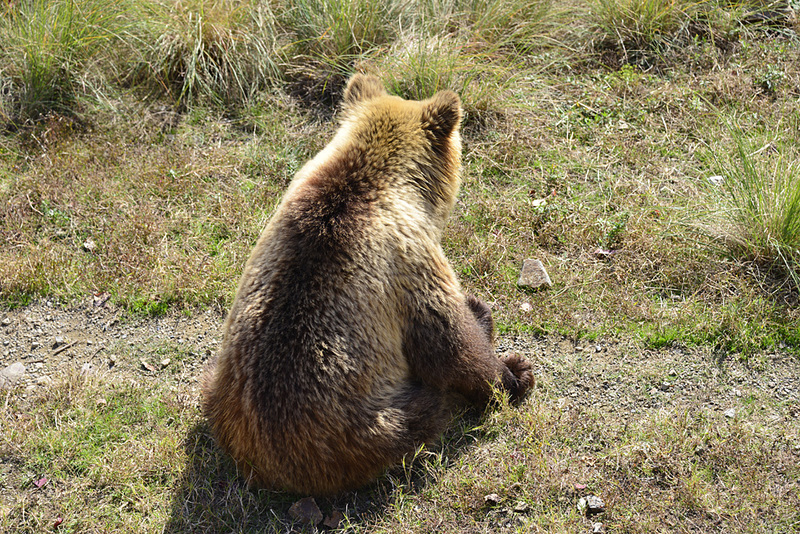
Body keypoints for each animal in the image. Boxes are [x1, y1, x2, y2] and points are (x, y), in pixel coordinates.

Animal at [203, 73, 536, 496]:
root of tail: (268, 459)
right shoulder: (410, 259)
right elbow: (448, 340)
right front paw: (513, 372)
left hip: (219, 382)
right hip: (370, 422)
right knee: (426, 408)